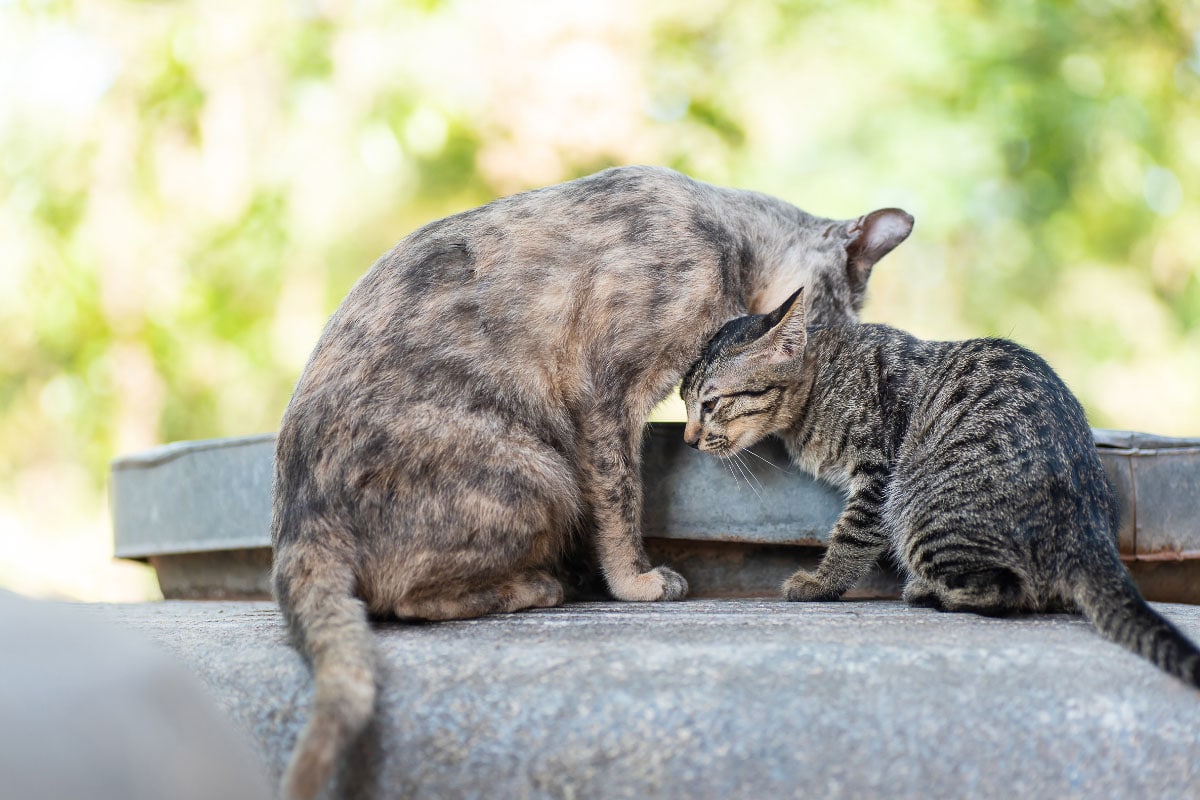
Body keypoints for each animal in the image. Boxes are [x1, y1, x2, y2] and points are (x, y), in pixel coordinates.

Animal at [270, 164, 907, 800]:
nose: (827, 355)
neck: (730, 241)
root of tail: (298, 526)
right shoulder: (607, 392)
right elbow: (622, 501)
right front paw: (639, 583)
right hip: (541, 476)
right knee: (406, 600)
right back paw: (539, 586)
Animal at [681, 287, 1195, 690]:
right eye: (685, 404)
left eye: (710, 403)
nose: (688, 438)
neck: (822, 377)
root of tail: (1086, 530)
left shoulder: (879, 471)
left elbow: (852, 536)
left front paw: (822, 582)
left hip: (917, 507)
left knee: (1008, 591)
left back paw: (930, 593)